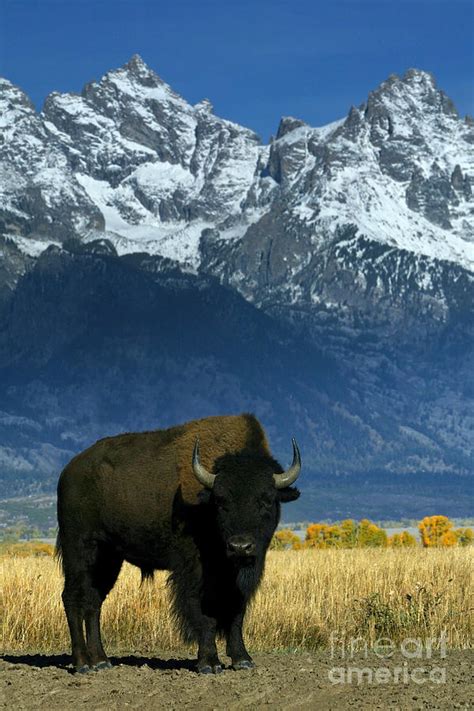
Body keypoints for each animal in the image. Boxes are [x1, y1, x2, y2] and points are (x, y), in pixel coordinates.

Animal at [55, 412, 300, 672]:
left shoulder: (239, 577)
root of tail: (68, 472)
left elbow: (237, 613)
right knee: (72, 597)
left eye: (266, 500)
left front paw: (243, 659)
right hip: (79, 550)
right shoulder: (195, 571)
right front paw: (209, 663)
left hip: (108, 558)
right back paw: (82, 663)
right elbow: (204, 615)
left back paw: (101, 661)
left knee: (93, 601)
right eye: (221, 501)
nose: (240, 546)